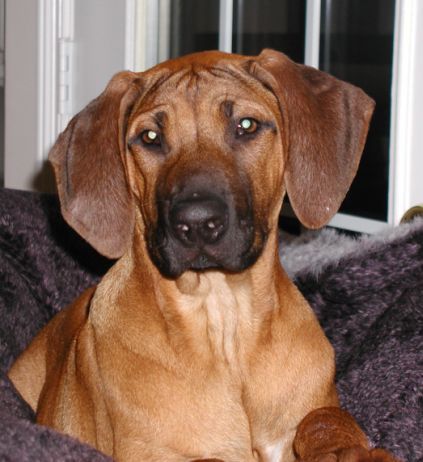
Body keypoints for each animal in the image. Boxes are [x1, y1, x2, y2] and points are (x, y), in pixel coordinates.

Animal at [8, 49, 396, 461]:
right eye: (150, 137)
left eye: (246, 125)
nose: (196, 222)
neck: (224, 318)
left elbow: (325, 417)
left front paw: (348, 450)